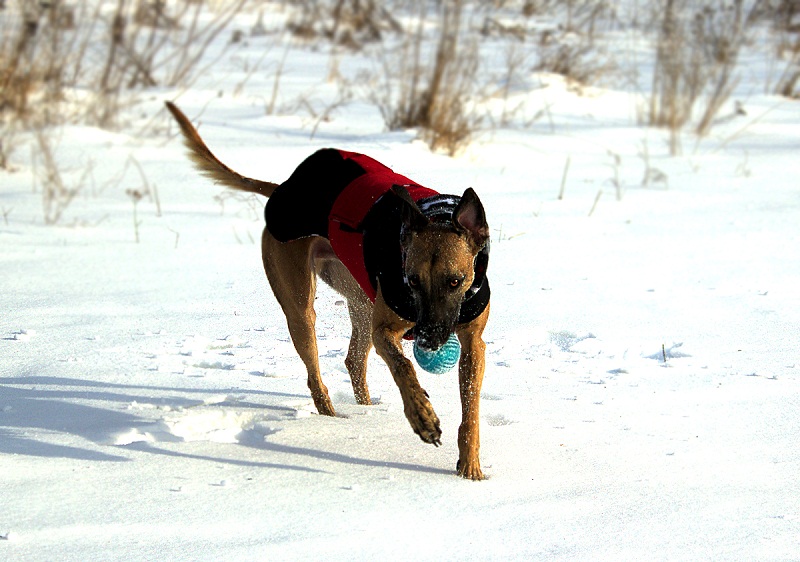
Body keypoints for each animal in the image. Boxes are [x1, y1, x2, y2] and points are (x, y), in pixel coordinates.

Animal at [165, 102, 491, 480]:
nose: (428, 340)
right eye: (411, 280)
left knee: (354, 360)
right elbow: (402, 367)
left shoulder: (473, 342)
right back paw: (335, 420)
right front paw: (422, 416)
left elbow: (471, 406)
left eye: (455, 281)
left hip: (361, 298)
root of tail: (282, 188)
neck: (435, 213)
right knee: (315, 369)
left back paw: (367, 409)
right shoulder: (387, 328)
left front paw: (470, 467)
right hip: (300, 303)